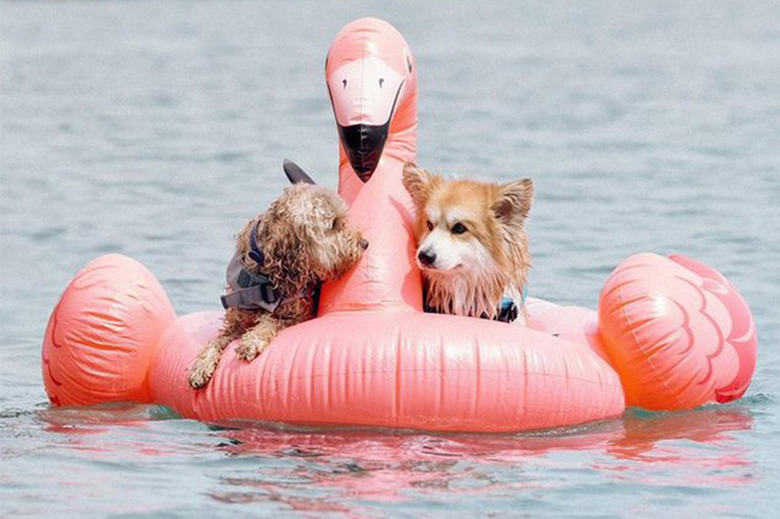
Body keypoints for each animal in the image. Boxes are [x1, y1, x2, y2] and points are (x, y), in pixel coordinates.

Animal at [191, 184, 368, 390]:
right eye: (333, 224)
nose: (364, 243)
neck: (263, 274)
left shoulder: (299, 315)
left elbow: (270, 321)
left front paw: (253, 340)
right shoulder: (235, 323)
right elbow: (215, 341)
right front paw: (201, 365)